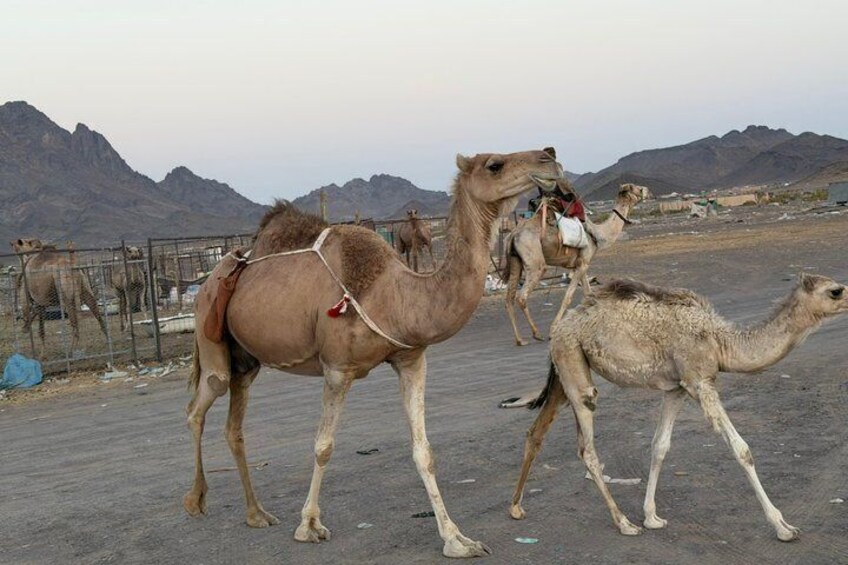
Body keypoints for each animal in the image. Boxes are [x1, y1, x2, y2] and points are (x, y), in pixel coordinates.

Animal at [183, 148, 562, 558]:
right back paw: (195, 501)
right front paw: (309, 525)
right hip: (211, 336)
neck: (395, 295)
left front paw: (457, 539)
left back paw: (256, 514)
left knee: (234, 428)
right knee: (198, 407)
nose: (550, 157)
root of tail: (212, 277)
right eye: (494, 165)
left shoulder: (412, 360)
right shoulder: (336, 368)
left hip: (246, 361)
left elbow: (423, 451)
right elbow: (323, 446)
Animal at [504, 182, 650, 347]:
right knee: (522, 296)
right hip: (535, 261)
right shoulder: (583, 264)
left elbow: (589, 294)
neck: (597, 234)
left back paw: (520, 339)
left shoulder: (581, 264)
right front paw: (553, 330)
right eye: (637, 188)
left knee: (509, 298)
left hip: (516, 261)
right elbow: (568, 297)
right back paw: (537, 334)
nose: (648, 191)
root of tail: (513, 235)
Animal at [509, 274, 848, 542]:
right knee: (587, 448)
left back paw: (516, 507)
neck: (720, 341)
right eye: (836, 290)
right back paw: (624, 523)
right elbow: (742, 449)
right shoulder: (699, 382)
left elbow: (660, 445)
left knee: (536, 432)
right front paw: (783, 527)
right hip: (574, 366)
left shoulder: (677, 388)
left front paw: (652, 517)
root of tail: (561, 326)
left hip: (564, 372)